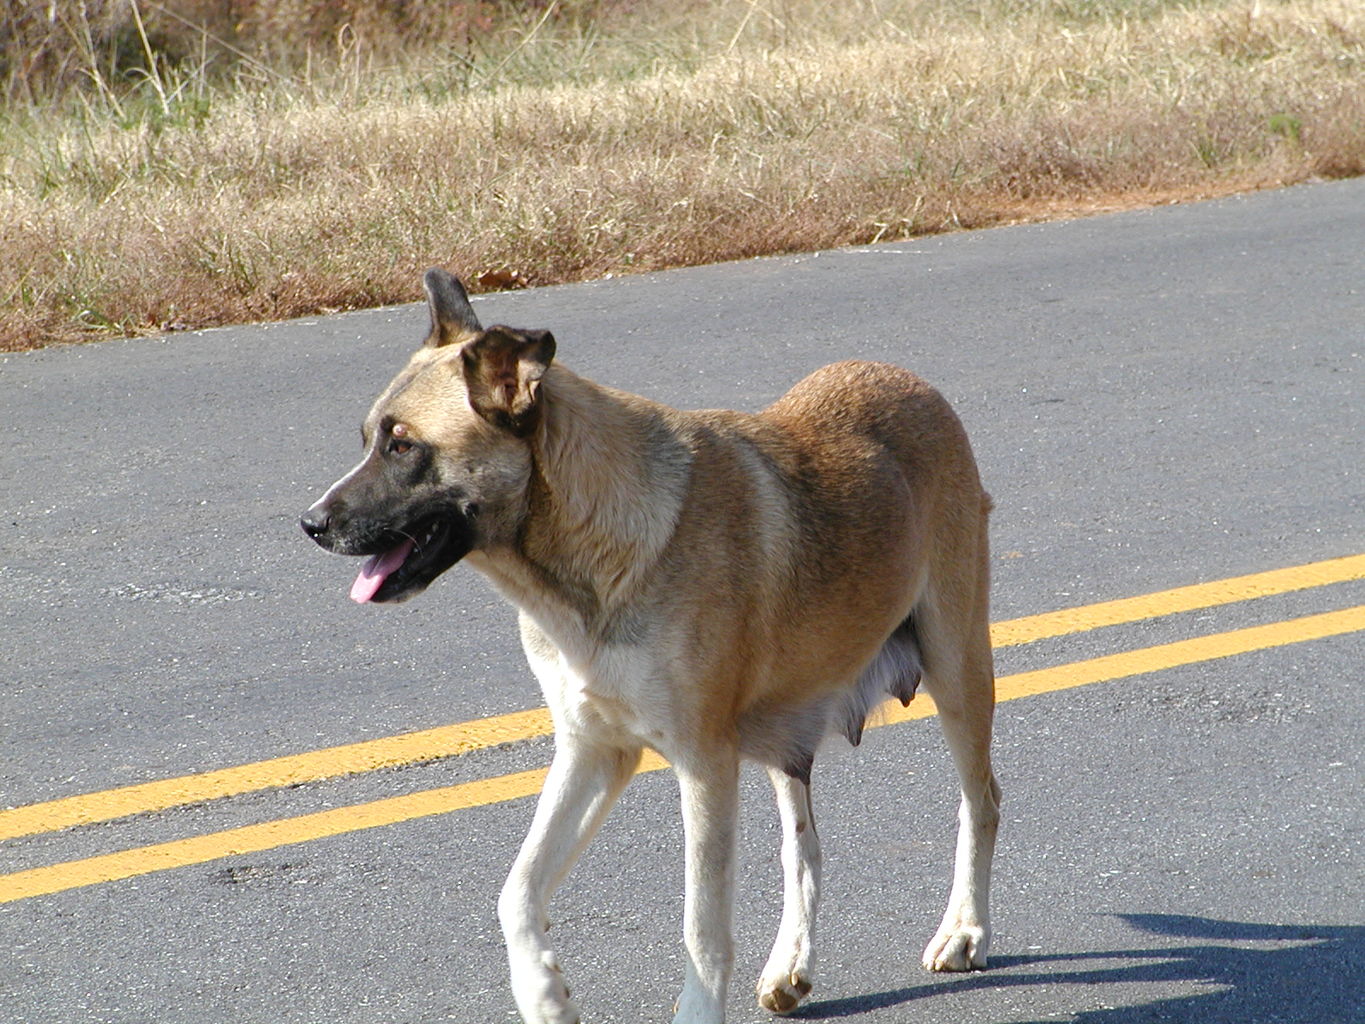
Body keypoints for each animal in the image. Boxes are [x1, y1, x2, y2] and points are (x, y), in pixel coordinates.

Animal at [301, 273, 1004, 1024]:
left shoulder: (703, 765)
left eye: (403, 446)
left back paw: (964, 931)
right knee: (804, 849)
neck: (585, 561)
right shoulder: (592, 751)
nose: (310, 524)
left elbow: (701, 926)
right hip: (790, 734)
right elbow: (516, 892)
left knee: (980, 801)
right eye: (370, 439)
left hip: (957, 671)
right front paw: (543, 992)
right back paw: (789, 965)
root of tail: (912, 382)